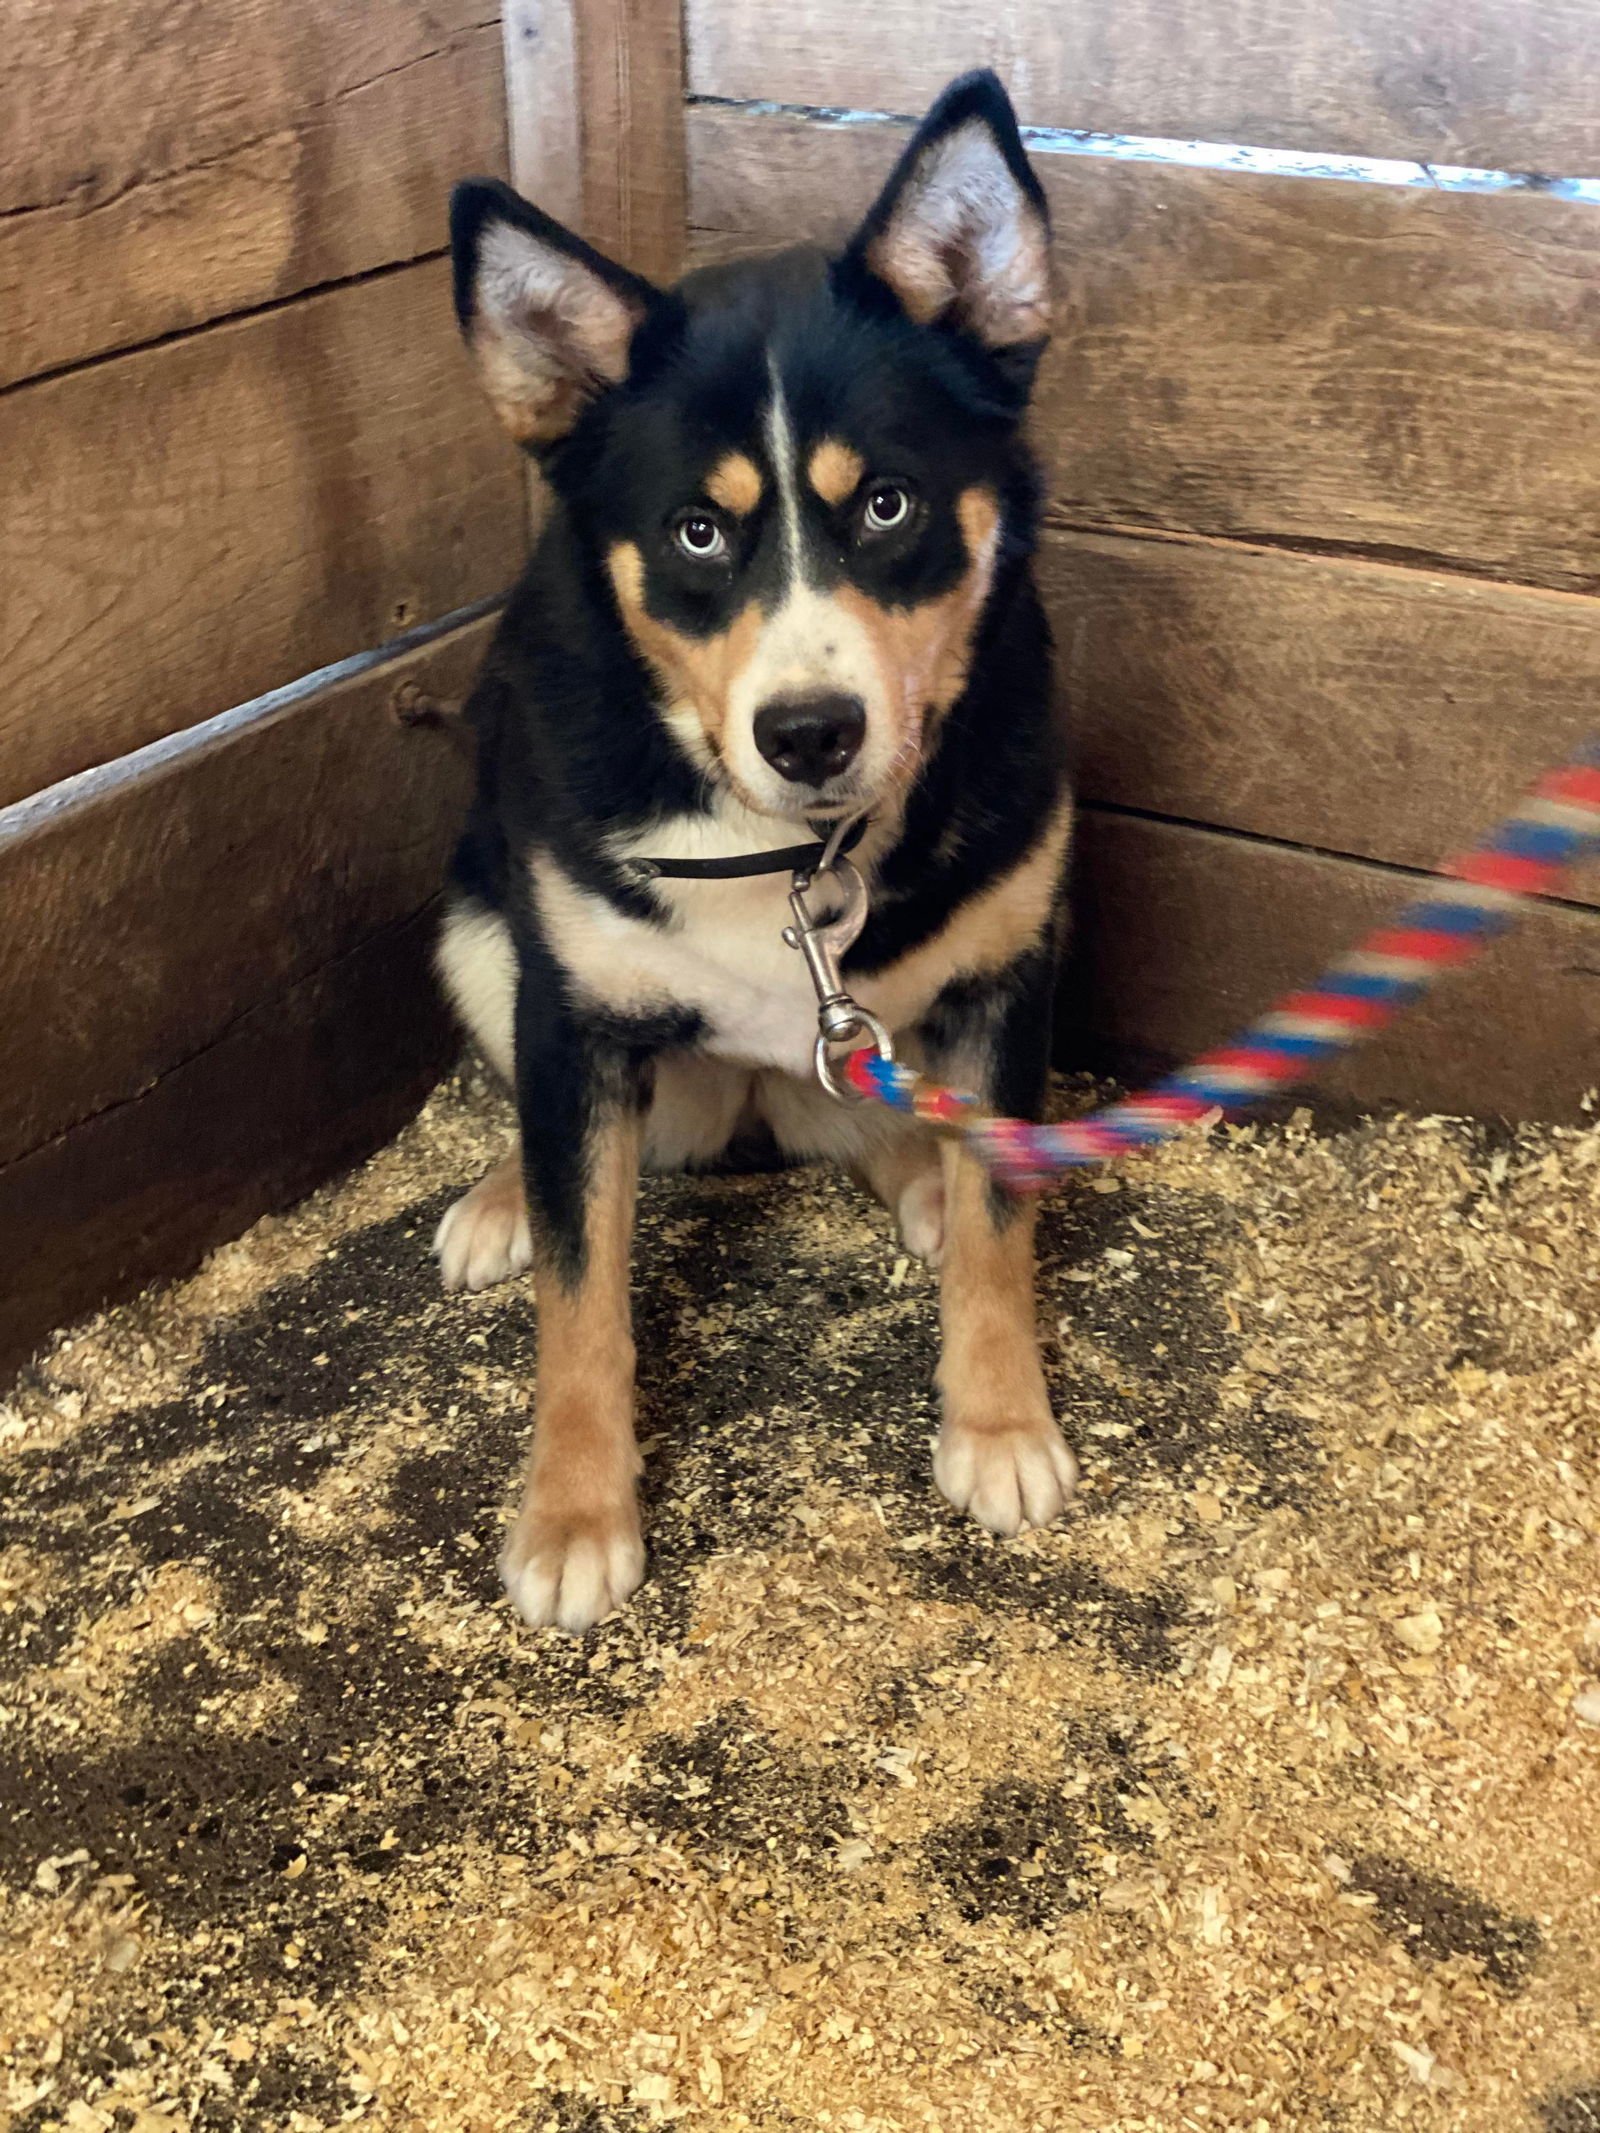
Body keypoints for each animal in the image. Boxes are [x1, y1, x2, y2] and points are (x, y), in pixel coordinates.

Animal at [439, 70, 1079, 1629]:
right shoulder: (574, 1014)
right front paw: (574, 1512)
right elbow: (580, 1284)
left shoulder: (1010, 975)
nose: (809, 732)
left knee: (900, 1127)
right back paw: (499, 1196)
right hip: (479, 929)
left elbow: (999, 1223)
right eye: (696, 532)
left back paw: (914, 1170)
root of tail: (748, 1104)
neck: (788, 853)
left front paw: (997, 1424)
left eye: (888, 504)